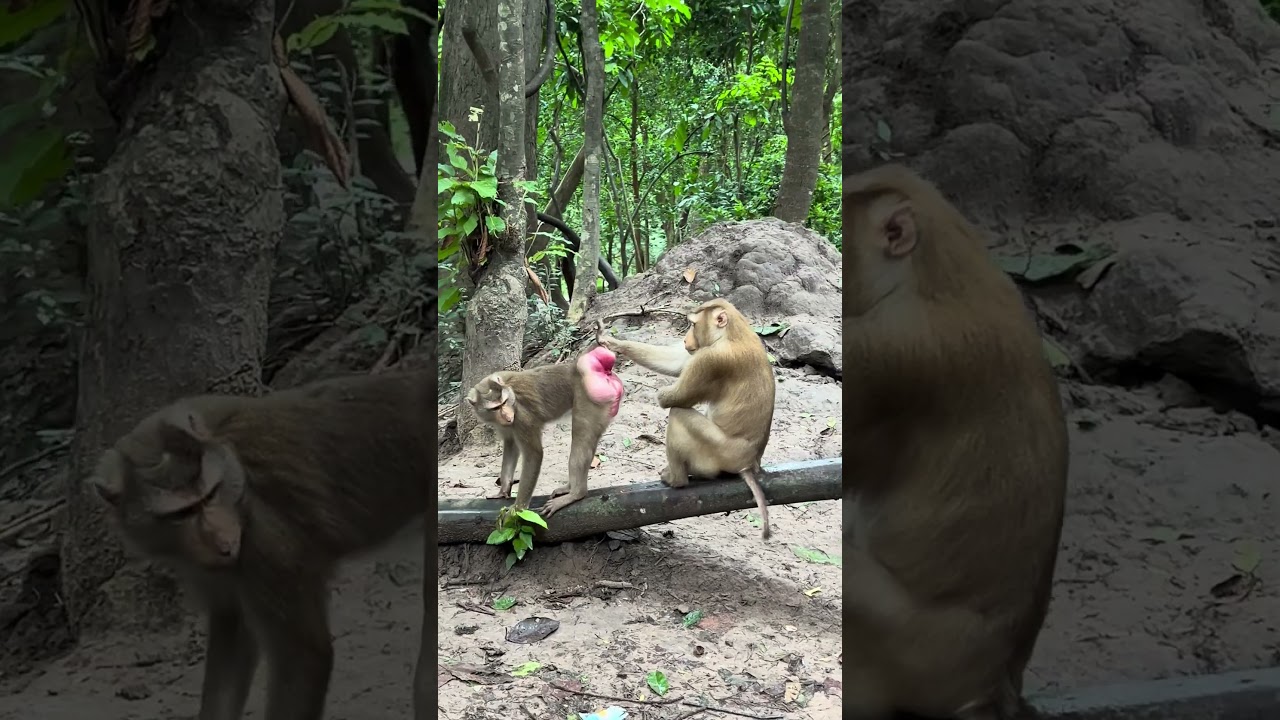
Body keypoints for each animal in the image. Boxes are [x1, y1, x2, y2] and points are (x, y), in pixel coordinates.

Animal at [88, 370, 432, 720]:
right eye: (182, 513)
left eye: (209, 495)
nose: (224, 542)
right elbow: (233, 631)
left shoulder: (266, 545)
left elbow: (303, 656)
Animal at [466, 345, 624, 518]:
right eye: (496, 407)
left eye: (504, 402)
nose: (507, 415)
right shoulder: (505, 424)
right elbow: (511, 445)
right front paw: (503, 491)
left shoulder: (522, 418)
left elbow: (534, 454)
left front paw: (518, 509)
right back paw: (569, 488)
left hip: (591, 398)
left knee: (581, 437)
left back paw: (576, 493)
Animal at [596, 299, 777, 540]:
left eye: (692, 324)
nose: (685, 339)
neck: (732, 332)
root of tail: (749, 463)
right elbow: (675, 363)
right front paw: (610, 341)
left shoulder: (709, 360)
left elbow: (674, 397)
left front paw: (663, 395)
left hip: (718, 451)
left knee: (678, 413)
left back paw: (677, 479)